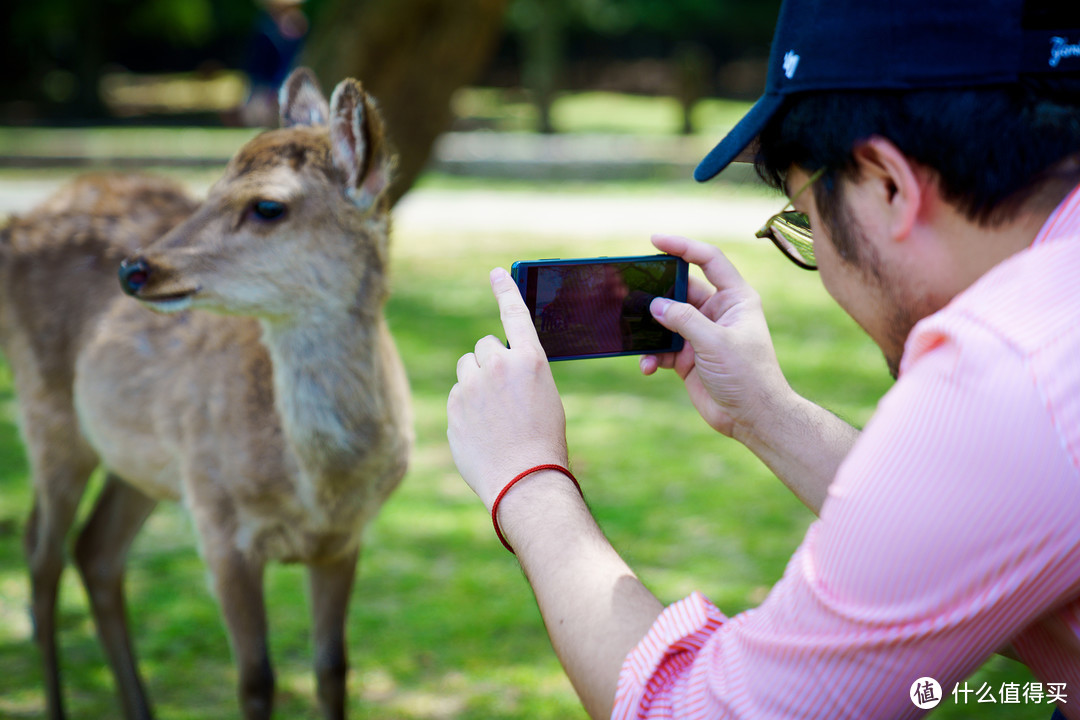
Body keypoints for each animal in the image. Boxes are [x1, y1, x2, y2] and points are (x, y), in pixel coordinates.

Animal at [0, 69, 412, 720]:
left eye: (267, 205)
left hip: (146, 459)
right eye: (213, 186)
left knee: (94, 549)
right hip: (47, 410)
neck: (317, 485)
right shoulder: (219, 523)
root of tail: (14, 223)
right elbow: (255, 679)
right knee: (42, 554)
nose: (134, 269)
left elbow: (332, 670)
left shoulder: (344, 539)